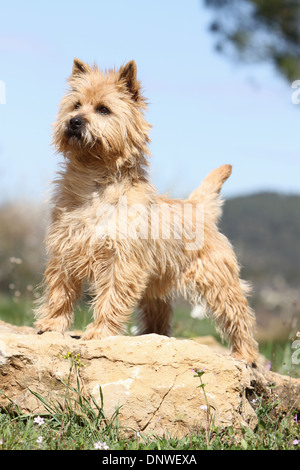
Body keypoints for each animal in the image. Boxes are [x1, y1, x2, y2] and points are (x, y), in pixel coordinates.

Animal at [35, 58, 258, 366]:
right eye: (76, 105)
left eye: (103, 109)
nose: (74, 121)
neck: (94, 182)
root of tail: (200, 208)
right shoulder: (65, 250)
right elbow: (60, 290)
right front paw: (51, 324)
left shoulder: (121, 260)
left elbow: (111, 296)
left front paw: (100, 331)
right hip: (155, 285)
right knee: (160, 315)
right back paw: (151, 339)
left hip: (218, 281)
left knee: (239, 315)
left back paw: (245, 354)